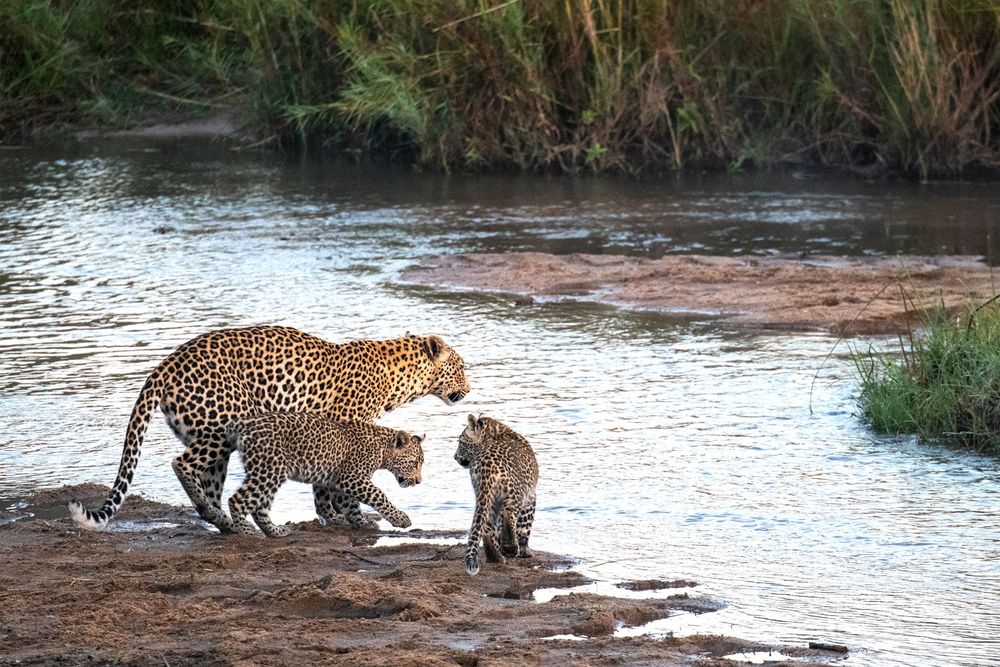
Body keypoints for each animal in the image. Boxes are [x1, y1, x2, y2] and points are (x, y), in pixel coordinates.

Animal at [70, 326, 468, 536]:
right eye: (461, 367)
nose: (468, 389)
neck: (400, 376)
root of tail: (165, 364)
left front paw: (333, 516)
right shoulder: (342, 424)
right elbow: (334, 487)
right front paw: (341, 516)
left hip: (217, 438)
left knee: (213, 483)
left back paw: (226, 522)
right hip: (220, 426)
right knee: (182, 465)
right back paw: (227, 519)